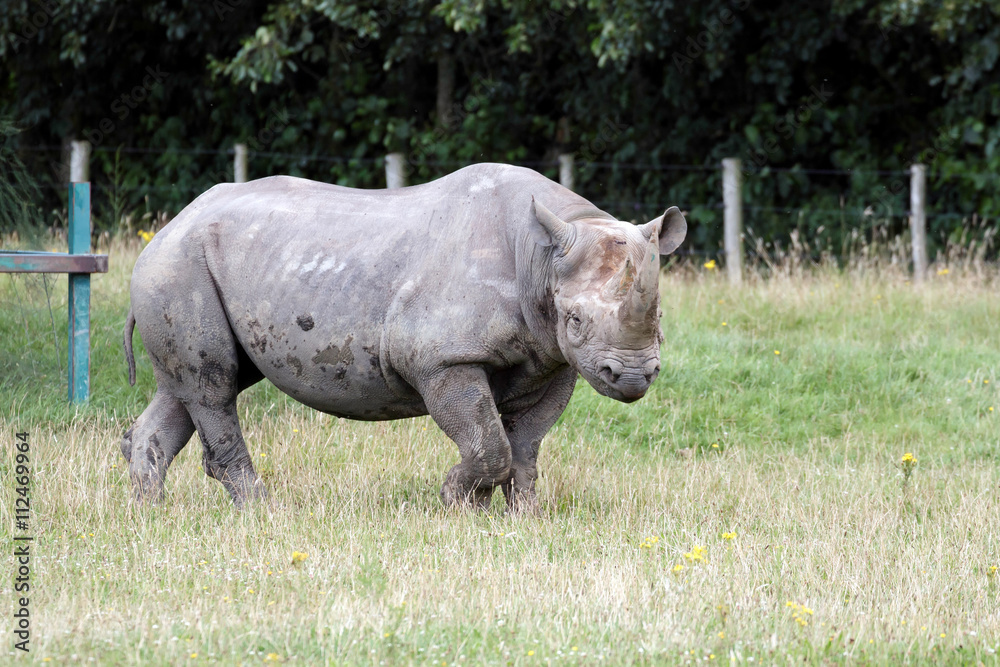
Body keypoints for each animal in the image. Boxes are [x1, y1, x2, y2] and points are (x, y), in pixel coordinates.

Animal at [122, 163, 686, 511]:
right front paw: (456, 504)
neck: (542, 255)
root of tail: (168, 227)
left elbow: (524, 446)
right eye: (575, 320)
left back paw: (152, 513)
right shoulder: (443, 359)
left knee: (193, 386)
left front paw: (518, 518)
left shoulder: (552, 360)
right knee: (212, 385)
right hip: (179, 265)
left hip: (195, 264)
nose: (632, 377)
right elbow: (489, 442)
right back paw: (262, 512)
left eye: (660, 319)